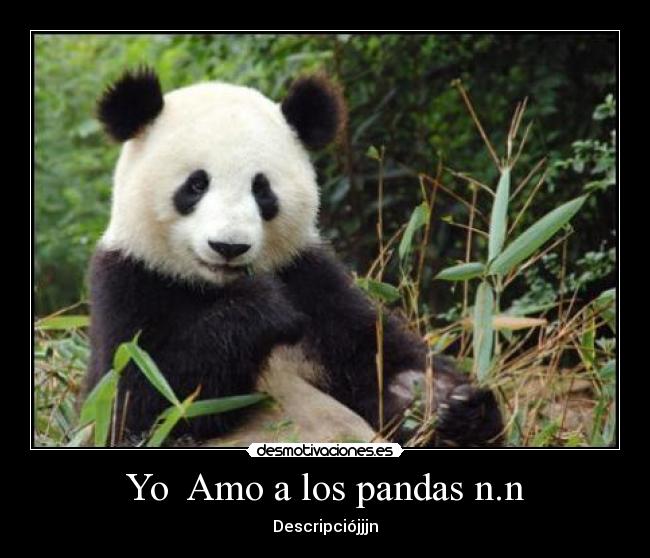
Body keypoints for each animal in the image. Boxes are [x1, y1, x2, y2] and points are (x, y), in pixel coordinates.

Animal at [82, 67, 503, 447]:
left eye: (262, 189)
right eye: (196, 184)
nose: (229, 247)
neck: (215, 287)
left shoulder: (313, 282)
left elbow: (387, 372)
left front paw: (454, 407)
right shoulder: (129, 283)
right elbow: (138, 405)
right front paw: (264, 309)